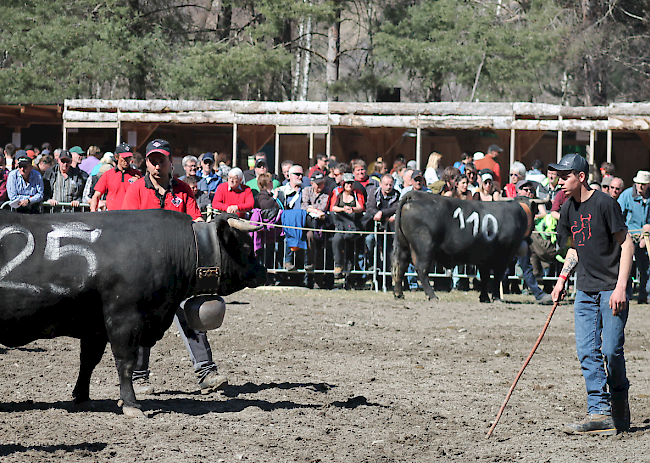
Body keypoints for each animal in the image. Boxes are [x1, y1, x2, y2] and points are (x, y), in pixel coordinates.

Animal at [0, 210, 264, 416]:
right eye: (246, 246)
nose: (264, 272)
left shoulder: (95, 326)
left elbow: (88, 361)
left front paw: (83, 398)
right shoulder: (124, 318)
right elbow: (125, 362)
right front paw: (131, 404)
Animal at [390, 191, 532, 302]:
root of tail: (414, 195)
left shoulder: (484, 258)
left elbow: (485, 277)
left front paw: (484, 298)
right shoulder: (504, 256)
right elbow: (497, 277)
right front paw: (496, 298)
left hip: (404, 246)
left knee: (400, 267)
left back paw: (399, 294)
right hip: (424, 247)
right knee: (421, 270)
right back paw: (433, 296)